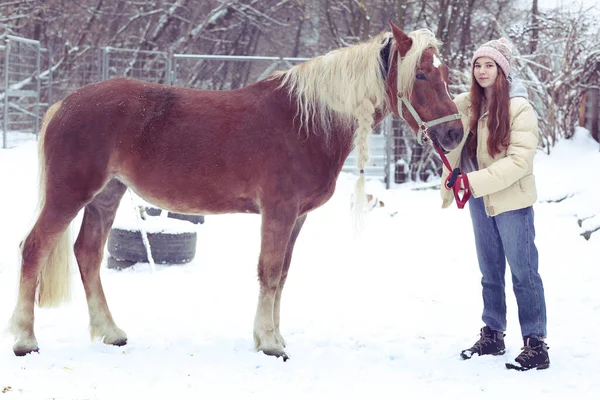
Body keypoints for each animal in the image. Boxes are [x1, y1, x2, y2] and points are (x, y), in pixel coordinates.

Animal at [7, 21, 462, 360]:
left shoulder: (296, 217)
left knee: (87, 252)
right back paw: (25, 340)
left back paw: (111, 332)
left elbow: (282, 275)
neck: (307, 121)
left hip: (107, 195)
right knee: (34, 247)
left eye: (443, 73)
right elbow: (269, 271)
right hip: (70, 195)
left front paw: (272, 336)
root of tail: (63, 105)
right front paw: (270, 344)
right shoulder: (278, 211)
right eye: (421, 74)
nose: (456, 133)